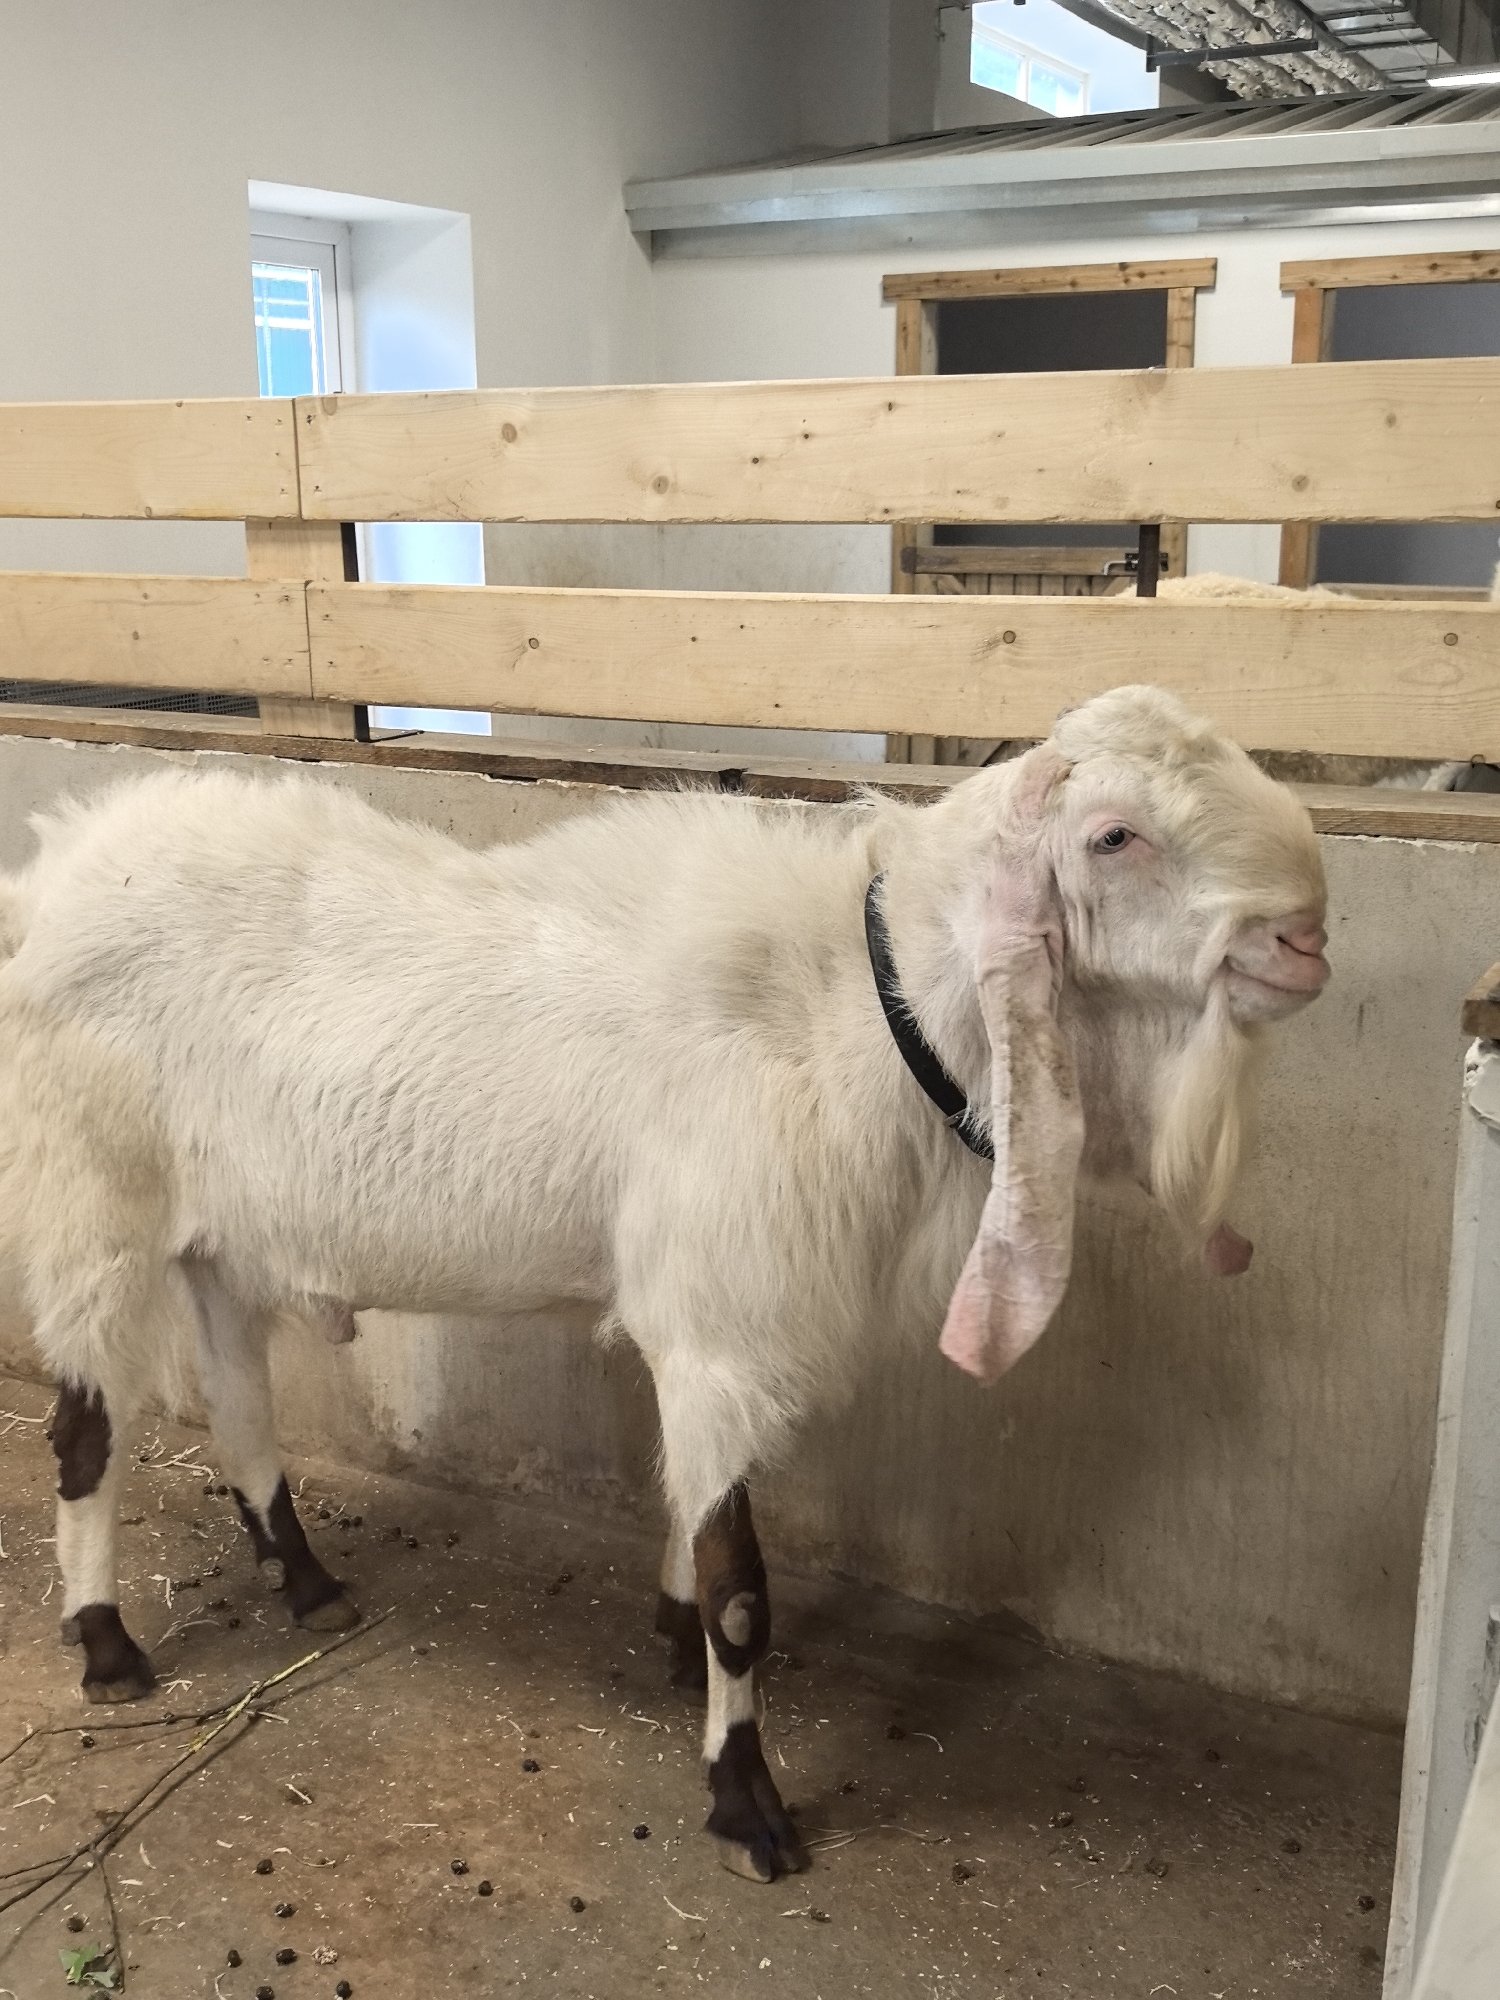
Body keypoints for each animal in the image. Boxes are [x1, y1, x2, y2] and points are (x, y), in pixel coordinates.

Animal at [0, 685, 1329, 1883]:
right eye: (1115, 835)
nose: (1305, 939)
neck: (852, 1007)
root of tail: (51, 873)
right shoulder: (722, 1328)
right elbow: (743, 1592)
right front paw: (748, 1801)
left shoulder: (712, 1332)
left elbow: (696, 1522)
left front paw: (671, 1640)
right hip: (91, 1203)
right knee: (85, 1431)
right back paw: (108, 1646)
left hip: (211, 1235)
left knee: (239, 1403)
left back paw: (307, 1582)